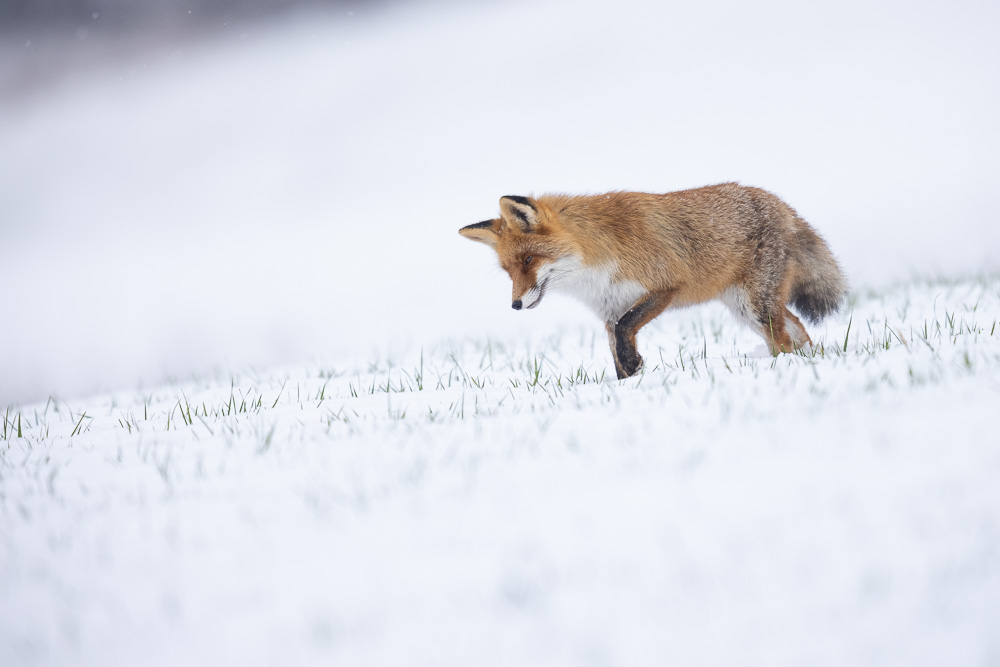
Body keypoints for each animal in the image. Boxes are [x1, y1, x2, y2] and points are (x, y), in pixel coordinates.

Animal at [458, 183, 844, 378]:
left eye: (528, 260)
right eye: (508, 270)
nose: (515, 304)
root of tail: (780, 203)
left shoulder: (665, 286)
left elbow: (627, 327)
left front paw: (635, 366)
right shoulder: (609, 310)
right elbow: (617, 347)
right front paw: (629, 380)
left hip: (755, 305)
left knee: (784, 339)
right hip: (747, 308)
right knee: (797, 332)